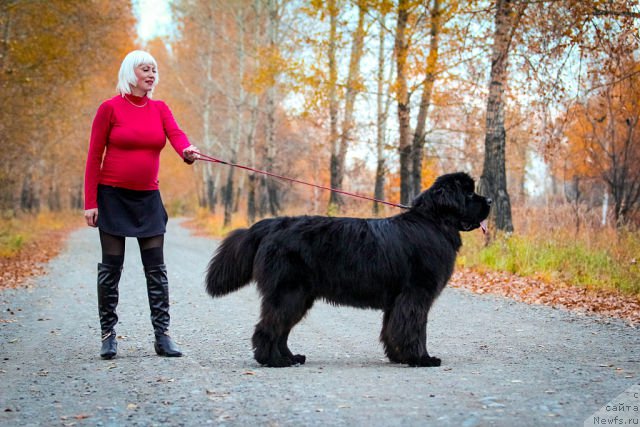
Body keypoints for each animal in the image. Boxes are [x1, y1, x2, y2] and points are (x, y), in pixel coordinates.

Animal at [204, 173, 490, 368]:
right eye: (468, 194)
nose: (489, 198)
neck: (433, 222)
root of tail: (273, 224)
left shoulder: (397, 300)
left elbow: (392, 328)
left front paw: (398, 356)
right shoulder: (415, 295)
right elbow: (415, 329)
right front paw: (421, 358)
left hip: (299, 296)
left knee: (280, 330)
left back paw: (291, 357)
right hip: (289, 292)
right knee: (268, 327)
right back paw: (274, 361)